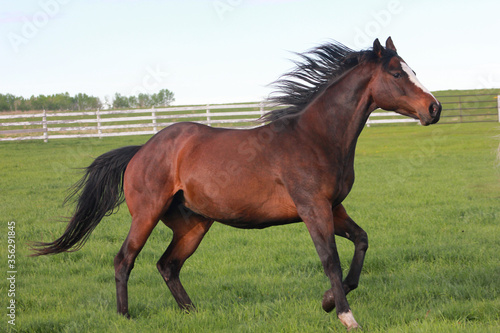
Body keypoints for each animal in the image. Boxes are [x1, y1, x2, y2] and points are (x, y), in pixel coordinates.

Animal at [32, 37, 442, 330]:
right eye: (397, 75)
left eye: (412, 69)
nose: (434, 109)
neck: (316, 137)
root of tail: (141, 150)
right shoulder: (313, 209)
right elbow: (330, 260)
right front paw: (345, 315)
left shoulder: (334, 207)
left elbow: (361, 242)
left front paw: (327, 301)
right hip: (146, 215)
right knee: (125, 260)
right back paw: (125, 317)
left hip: (193, 224)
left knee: (168, 265)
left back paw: (193, 313)